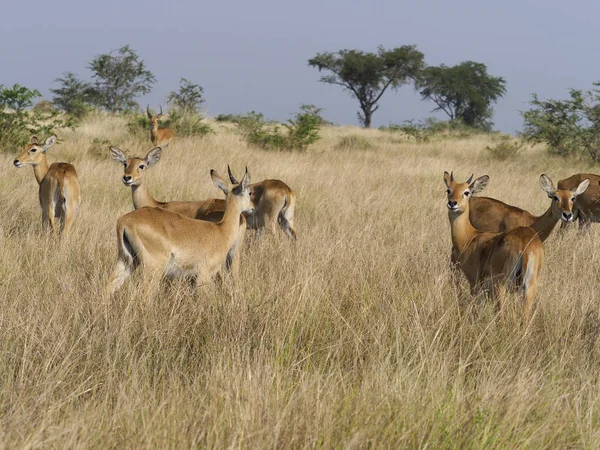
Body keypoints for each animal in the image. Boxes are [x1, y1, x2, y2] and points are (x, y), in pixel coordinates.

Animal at [106, 167, 254, 298]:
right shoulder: (203, 276)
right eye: (249, 193)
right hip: (153, 268)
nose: (252, 208)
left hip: (126, 261)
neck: (221, 229)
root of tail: (124, 220)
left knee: (108, 288)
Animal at [442, 172, 548, 324]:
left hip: (501, 286)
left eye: (466, 192)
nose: (452, 203)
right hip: (529, 287)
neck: (469, 237)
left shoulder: (474, 282)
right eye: (448, 190)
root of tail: (525, 244)